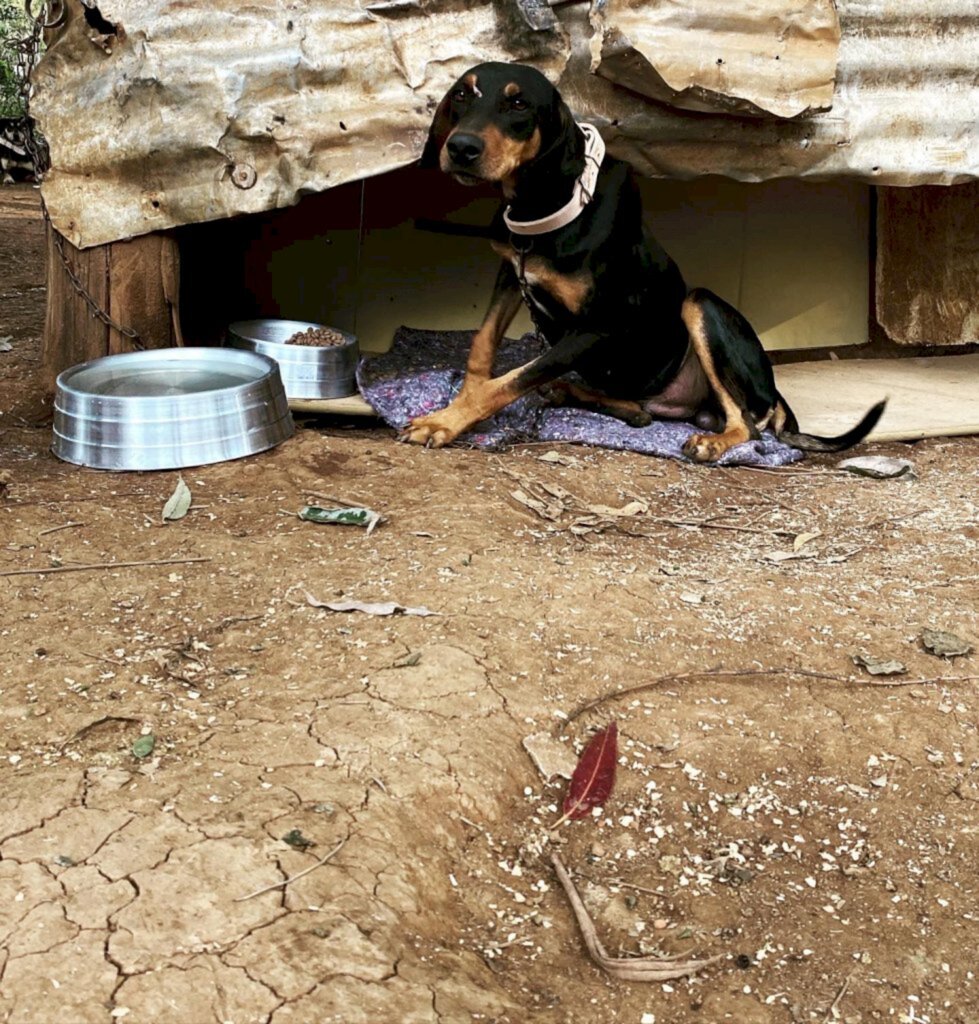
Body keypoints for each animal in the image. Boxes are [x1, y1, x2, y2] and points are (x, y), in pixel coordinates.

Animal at [401, 61, 884, 458]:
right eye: (462, 94)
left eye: (518, 103)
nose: (460, 148)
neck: (546, 210)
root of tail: (775, 394)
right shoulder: (511, 271)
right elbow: (483, 346)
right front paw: (458, 403)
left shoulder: (594, 328)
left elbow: (513, 378)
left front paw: (444, 421)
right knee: (646, 409)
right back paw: (583, 396)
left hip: (701, 305)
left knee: (747, 424)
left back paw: (710, 441)